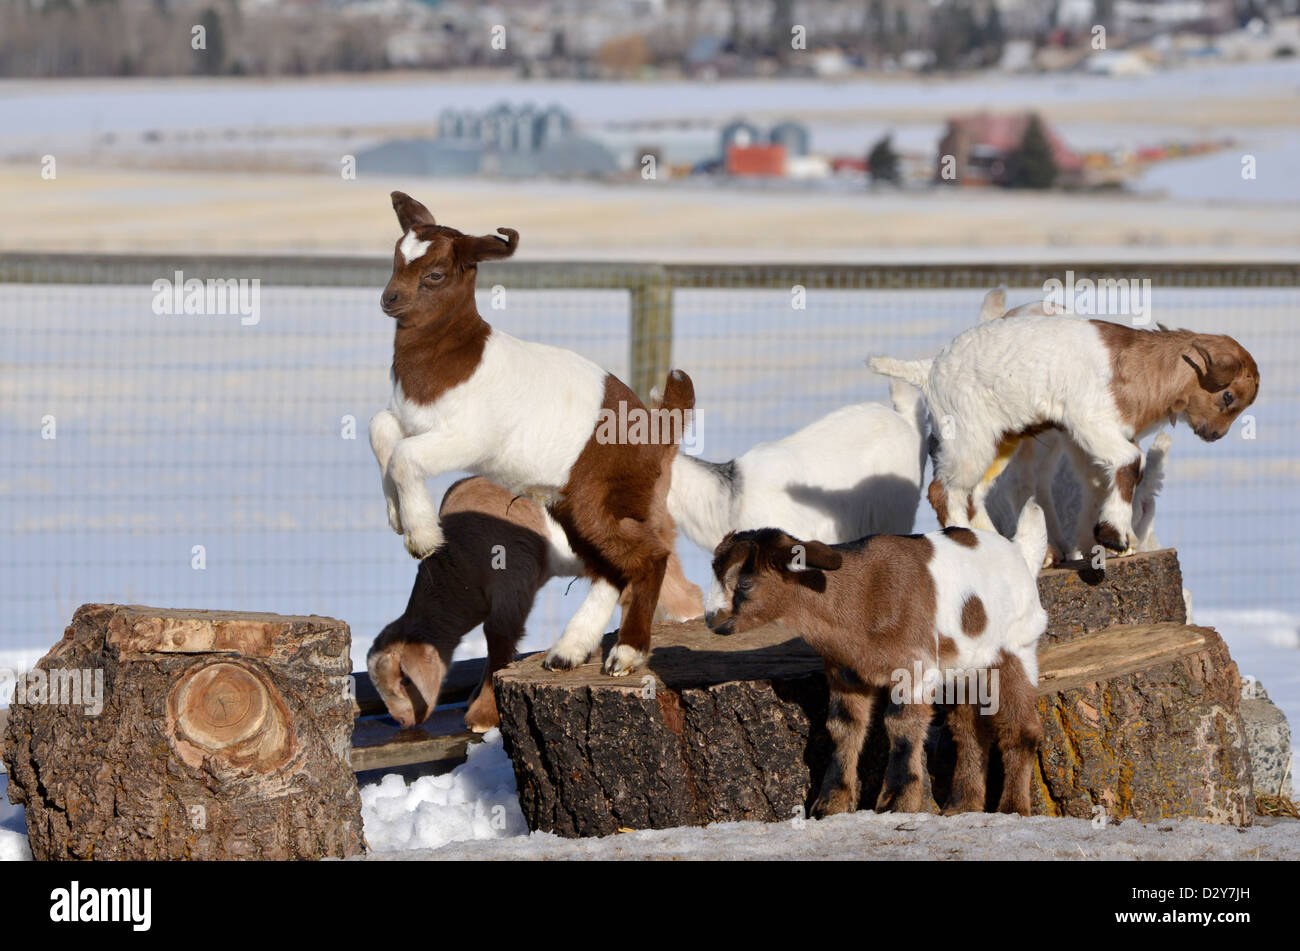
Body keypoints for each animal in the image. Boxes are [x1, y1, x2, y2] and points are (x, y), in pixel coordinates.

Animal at [369, 192, 694, 676]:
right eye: (395, 258)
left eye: (435, 274)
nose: (389, 300)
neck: (455, 357)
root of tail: (658, 428)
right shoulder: (410, 416)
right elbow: (381, 430)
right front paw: (395, 515)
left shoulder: (468, 437)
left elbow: (405, 456)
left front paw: (423, 537)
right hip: (571, 507)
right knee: (611, 569)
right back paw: (568, 651)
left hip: (604, 498)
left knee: (648, 558)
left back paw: (626, 654)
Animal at [705, 503, 1049, 817]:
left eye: (744, 583)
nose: (712, 620)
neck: (861, 597)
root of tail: (1020, 552)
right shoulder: (845, 672)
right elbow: (843, 727)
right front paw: (830, 806)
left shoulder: (915, 666)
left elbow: (901, 725)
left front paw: (896, 802)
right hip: (964, 668)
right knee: (970, 729)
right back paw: (961, 808)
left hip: (1017, 649)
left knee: (1021, 730)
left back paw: (1012, 809)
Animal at [870, 294, 1257, 555]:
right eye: (1228, 397)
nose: (1214, 435)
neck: (1137, 367)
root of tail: (928, 368)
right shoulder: (1090, 422)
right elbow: (1131, 461)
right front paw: (1114, 535)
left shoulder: (1087, 439)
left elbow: (1103, 480)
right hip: (969, 437)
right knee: (944, 490)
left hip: (1000, 440)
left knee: (973, 492)